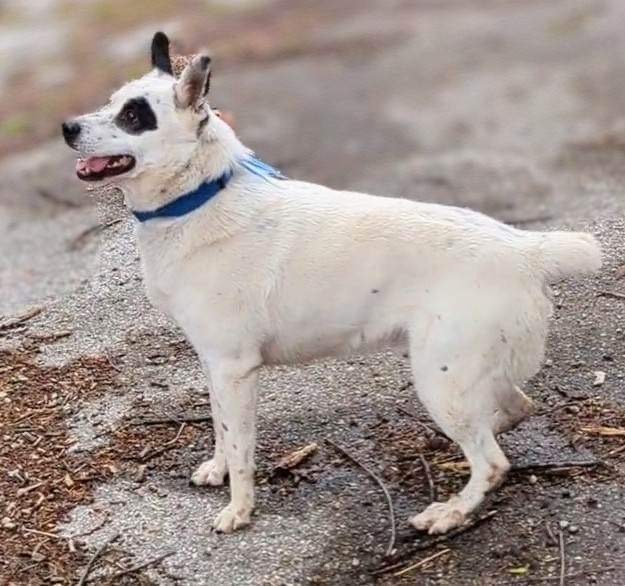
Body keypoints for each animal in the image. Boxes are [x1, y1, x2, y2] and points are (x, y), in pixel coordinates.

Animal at [62, 32, 600, 532]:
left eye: (134, 116)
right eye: (111, 102)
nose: (67, 127)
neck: (199, 194)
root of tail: (525, 250)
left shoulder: (234, 369)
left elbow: (240, 447)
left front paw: (239, 508)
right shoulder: (216, 368)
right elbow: (219, 428)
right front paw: (217, 469)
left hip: (439, 378)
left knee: (491, 462)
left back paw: (450, 512)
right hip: (465, 374)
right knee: (513, 409)